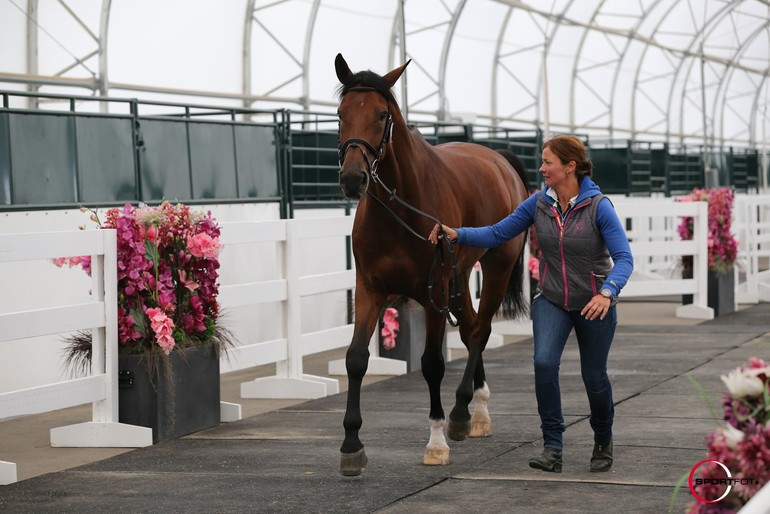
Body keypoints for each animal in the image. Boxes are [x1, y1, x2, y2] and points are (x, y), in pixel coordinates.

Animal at [336, 54, 528, 474]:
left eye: (381, 115)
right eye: (341, 114)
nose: (353, 178)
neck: (400, 209)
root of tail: (499, 160)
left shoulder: (433, 292)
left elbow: (431, 364)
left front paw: (437, 440)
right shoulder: (370, 288)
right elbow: (356, 359)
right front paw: (351, 444)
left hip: (495, 269)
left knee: (480, 331)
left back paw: (461, 413)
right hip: (460, 274)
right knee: (472, 328)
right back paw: (475, 410)